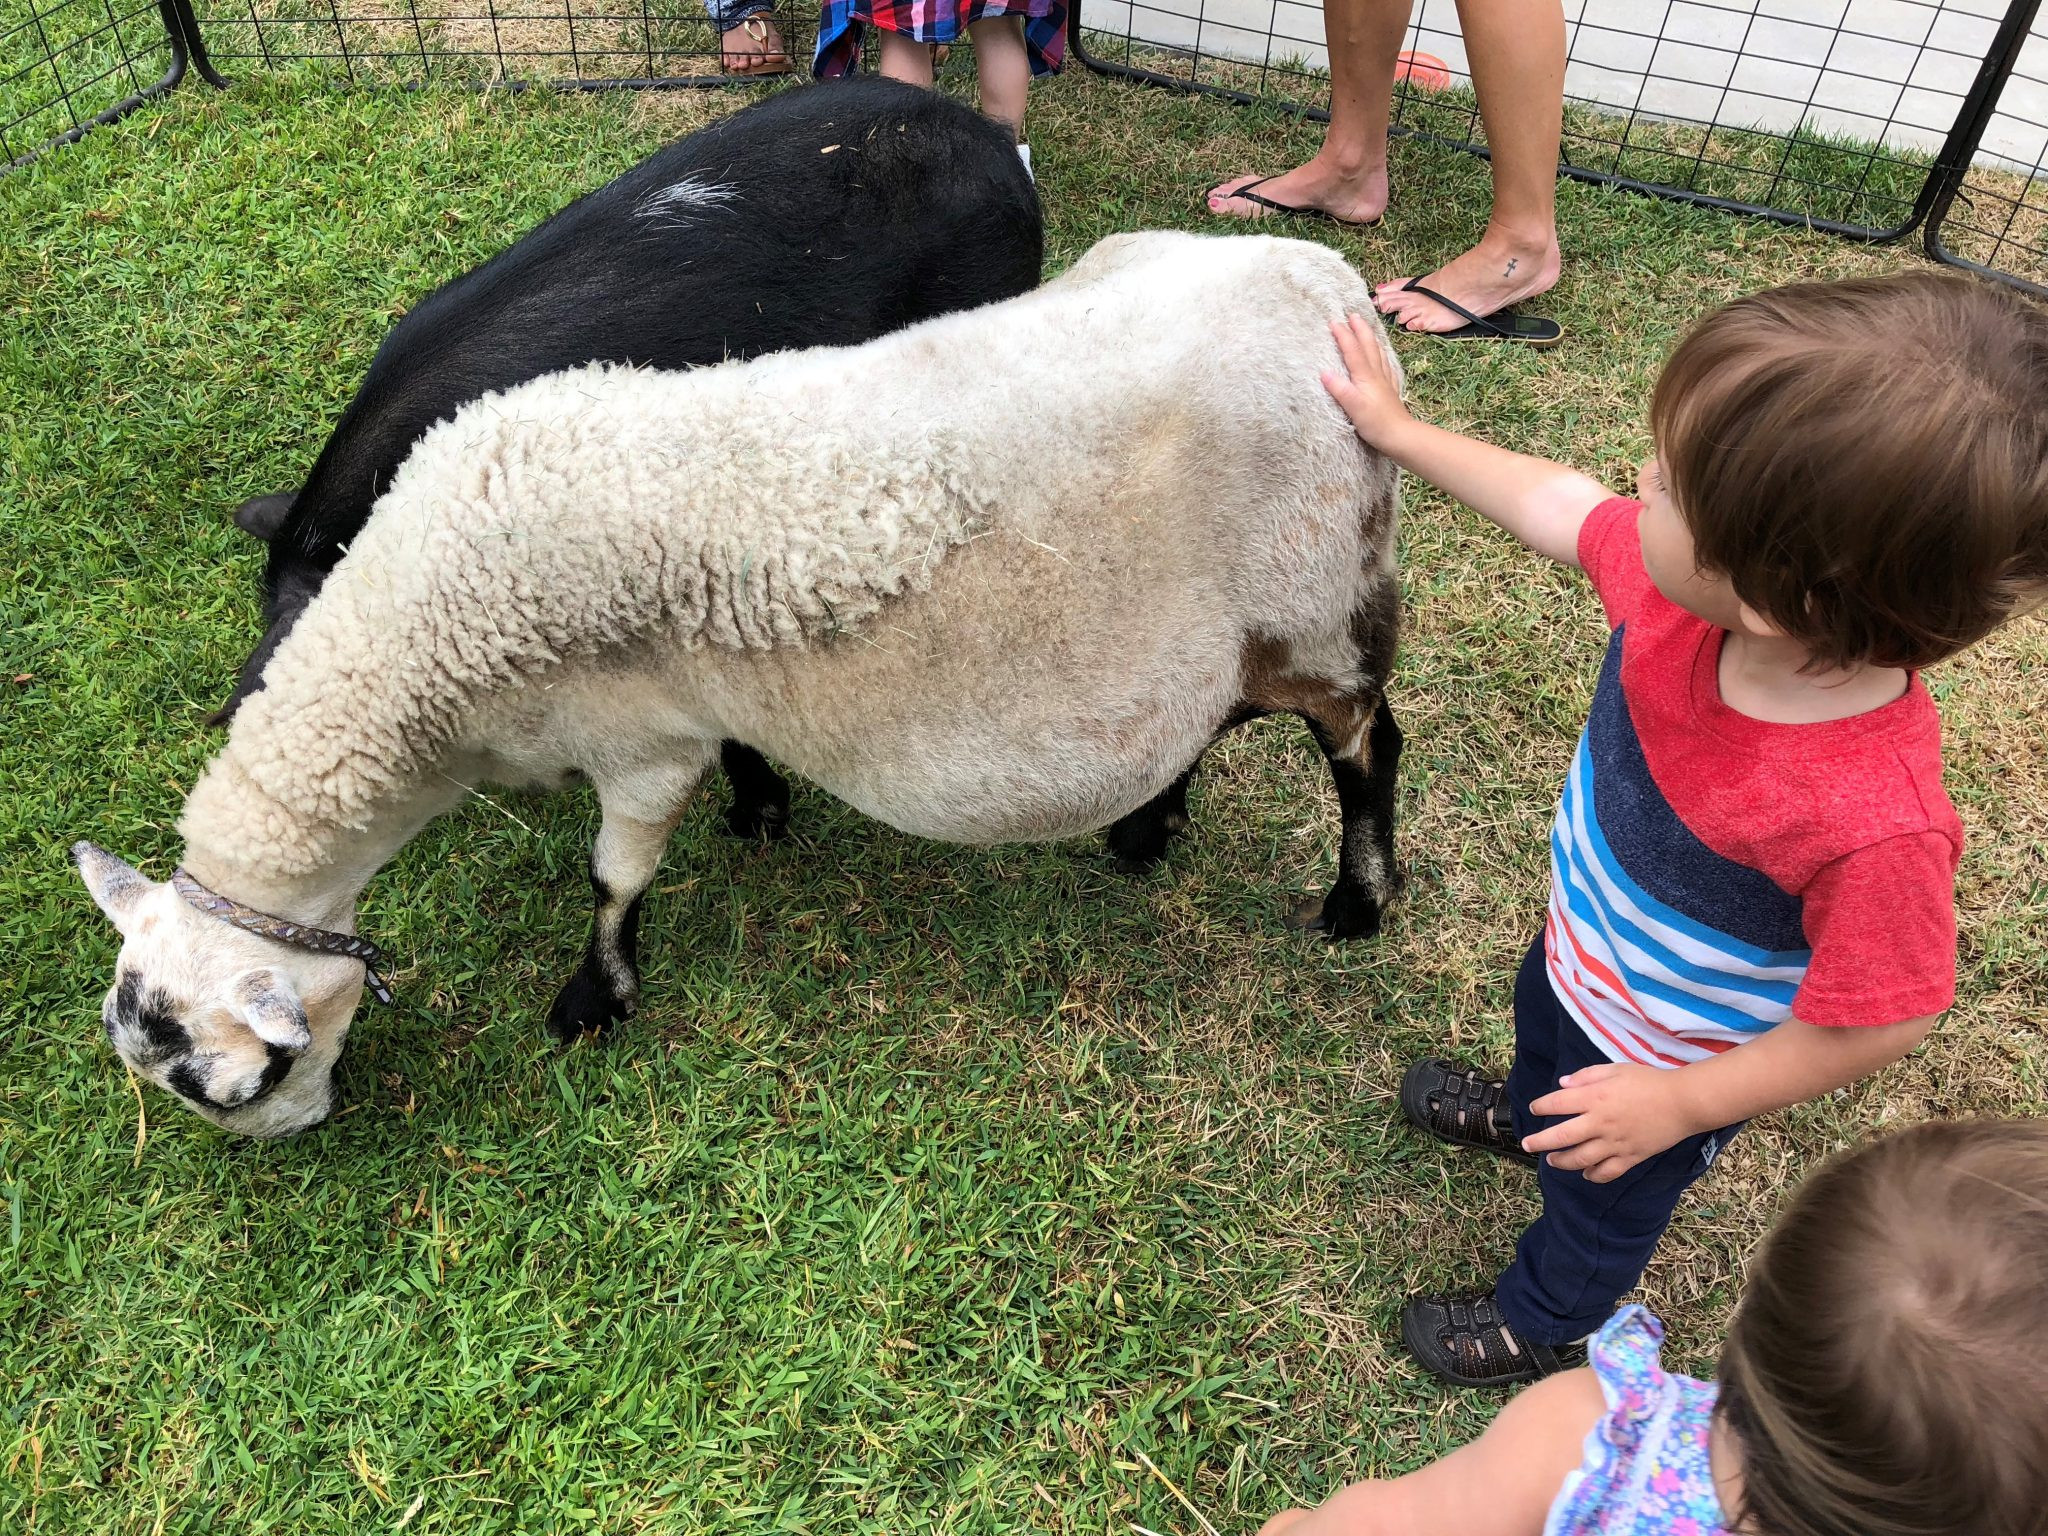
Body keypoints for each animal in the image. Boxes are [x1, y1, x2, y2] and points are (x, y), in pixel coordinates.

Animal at [75, 231, 1409, 1146]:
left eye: (241, 1080)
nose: (298, 1139)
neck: (431, 656)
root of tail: (1331, 286)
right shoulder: (697, 700)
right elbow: (739, 757)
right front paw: (761, 810)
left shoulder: (637, 742)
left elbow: (613, 878)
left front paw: (594, 998)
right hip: (1217, 625)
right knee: (1207, 715)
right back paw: (1146, 826)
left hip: (1316, 596)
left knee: (1364, 746)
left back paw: (1356, 901)